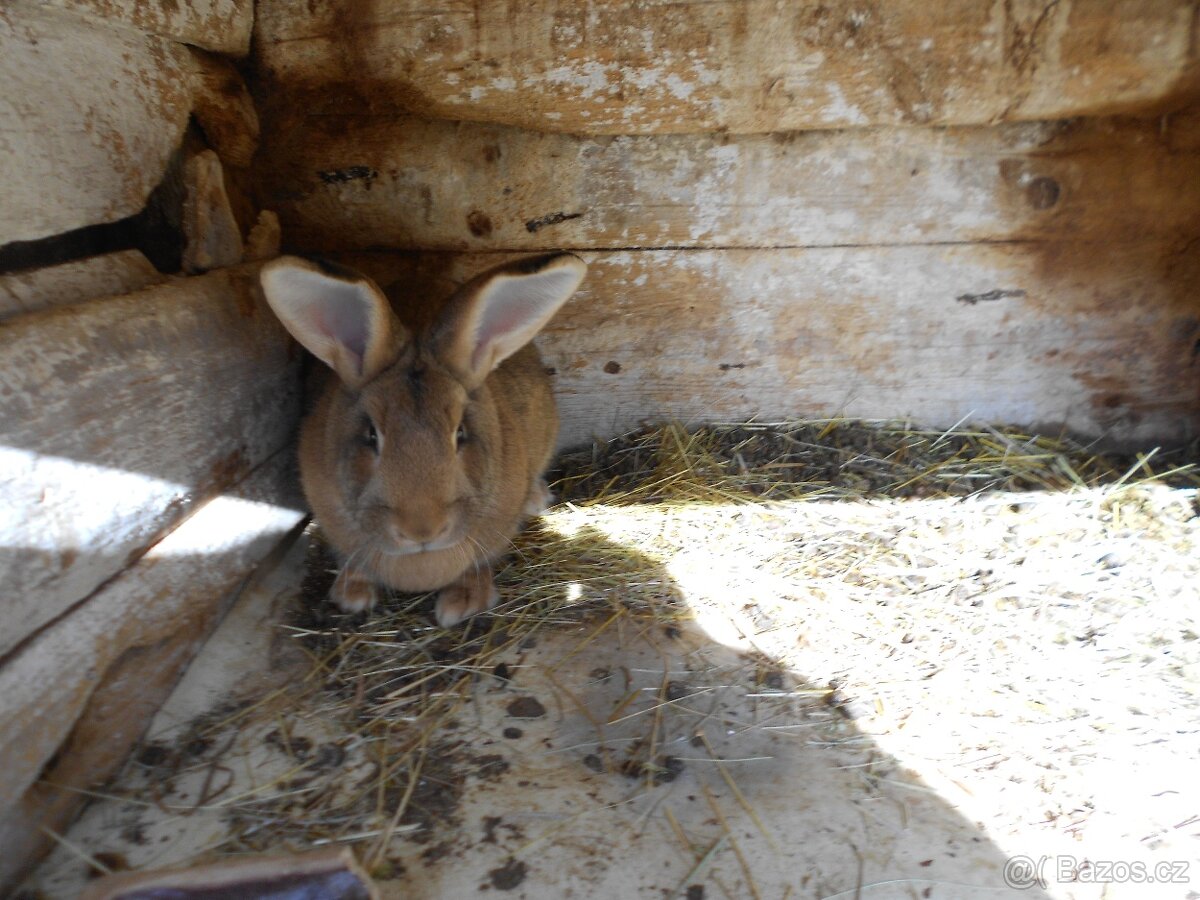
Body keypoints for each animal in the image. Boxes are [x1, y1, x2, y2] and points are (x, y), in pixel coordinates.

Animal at [260, 252, 588, 628]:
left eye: (460, 432)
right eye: (371, 434)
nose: (422, 530)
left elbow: (479, 563)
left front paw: (464, 602)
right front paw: (351, 595)